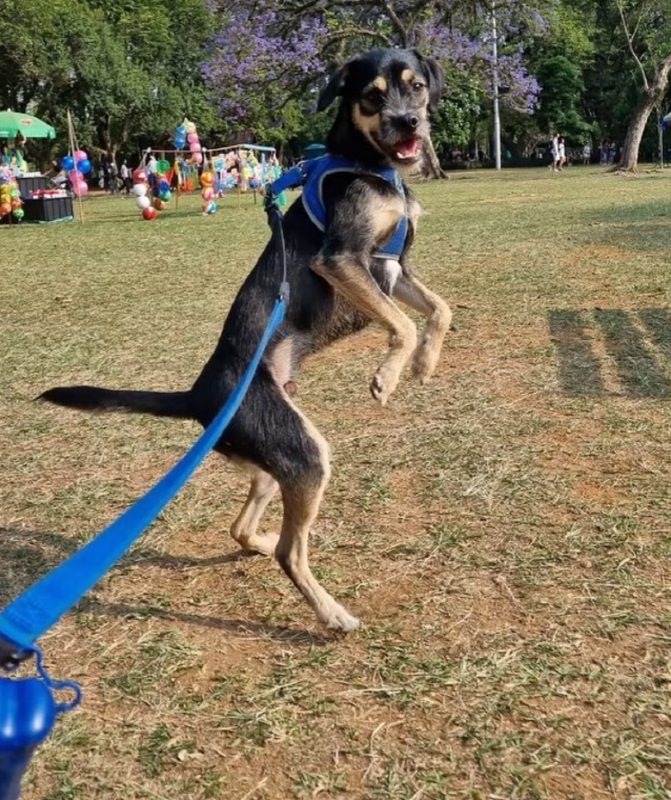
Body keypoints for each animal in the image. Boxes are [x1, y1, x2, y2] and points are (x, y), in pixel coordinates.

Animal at [40, 50, 452, 636]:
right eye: (373, 97)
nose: (409, 123)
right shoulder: (342, 260)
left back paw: (256, 542)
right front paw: (388, 375)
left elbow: (437, 310)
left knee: (246, 526)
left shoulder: (396, 271)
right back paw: (331, 612)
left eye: (416, 88)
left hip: (275, 458)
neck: (370, 166)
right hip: (305, 454)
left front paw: (423, 364)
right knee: (290, 551)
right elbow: (405, 323)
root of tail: (199, 394)